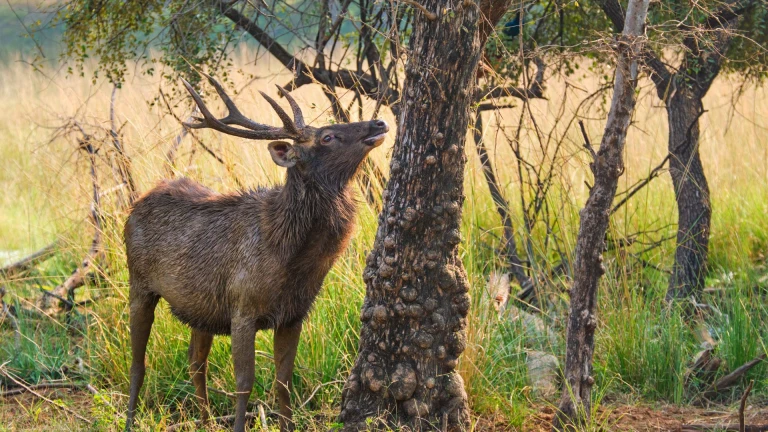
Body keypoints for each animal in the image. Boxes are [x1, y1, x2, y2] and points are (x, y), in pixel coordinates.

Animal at [127, 75, 390, 432]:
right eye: (327, 136)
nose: (379, 123)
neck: (290, 258)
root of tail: (137, 203)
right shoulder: (243, 308)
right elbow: (244, 382)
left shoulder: (294, 314)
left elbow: (283, 382)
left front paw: (288, 426)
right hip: (139, 283)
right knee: (138, 363)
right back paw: (128, 419)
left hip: (200, 308)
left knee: (196, 362)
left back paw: (207, 422)